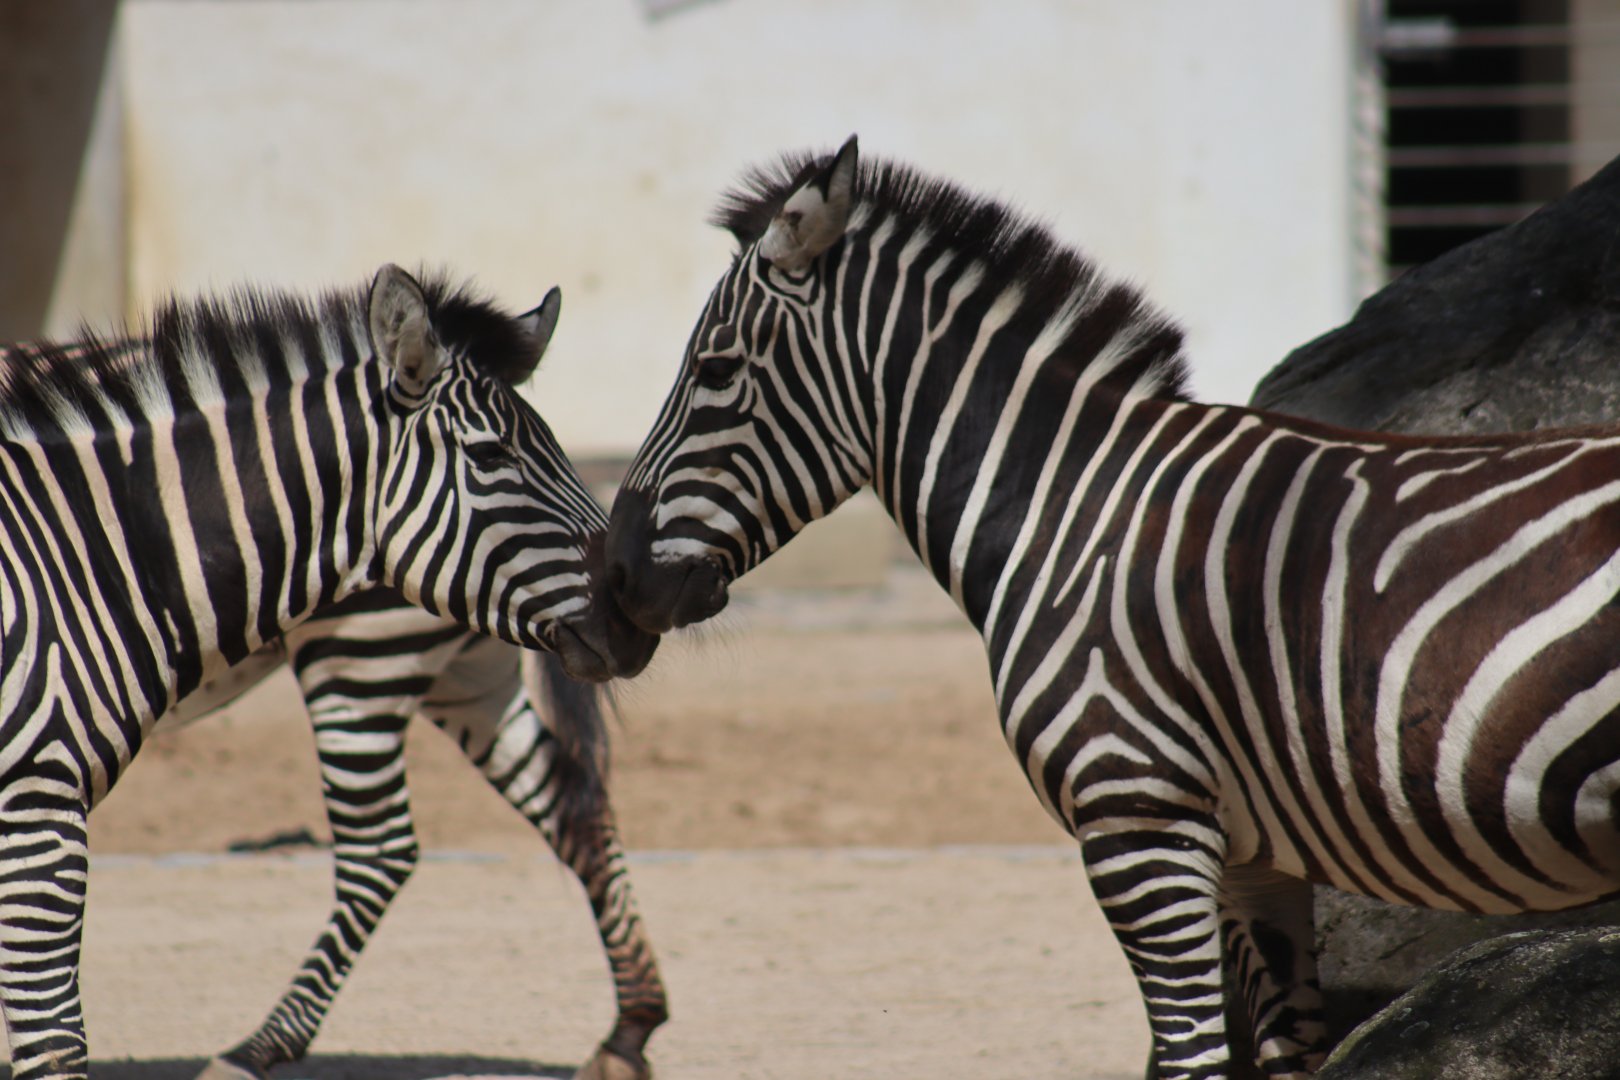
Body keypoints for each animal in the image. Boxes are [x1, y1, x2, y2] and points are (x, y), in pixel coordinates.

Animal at [169, 593, 667, 1080]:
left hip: (362, 652)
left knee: (379, 853)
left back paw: (252, 1052)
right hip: (468, 674)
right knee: (571, 808)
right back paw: (627, 1033)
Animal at [602, 136, 1620, 1079]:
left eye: (716, 368)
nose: (614, 582)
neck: (1073, 509)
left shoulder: (1137, 813)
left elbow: (1190, 1059)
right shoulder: (1255, 856)